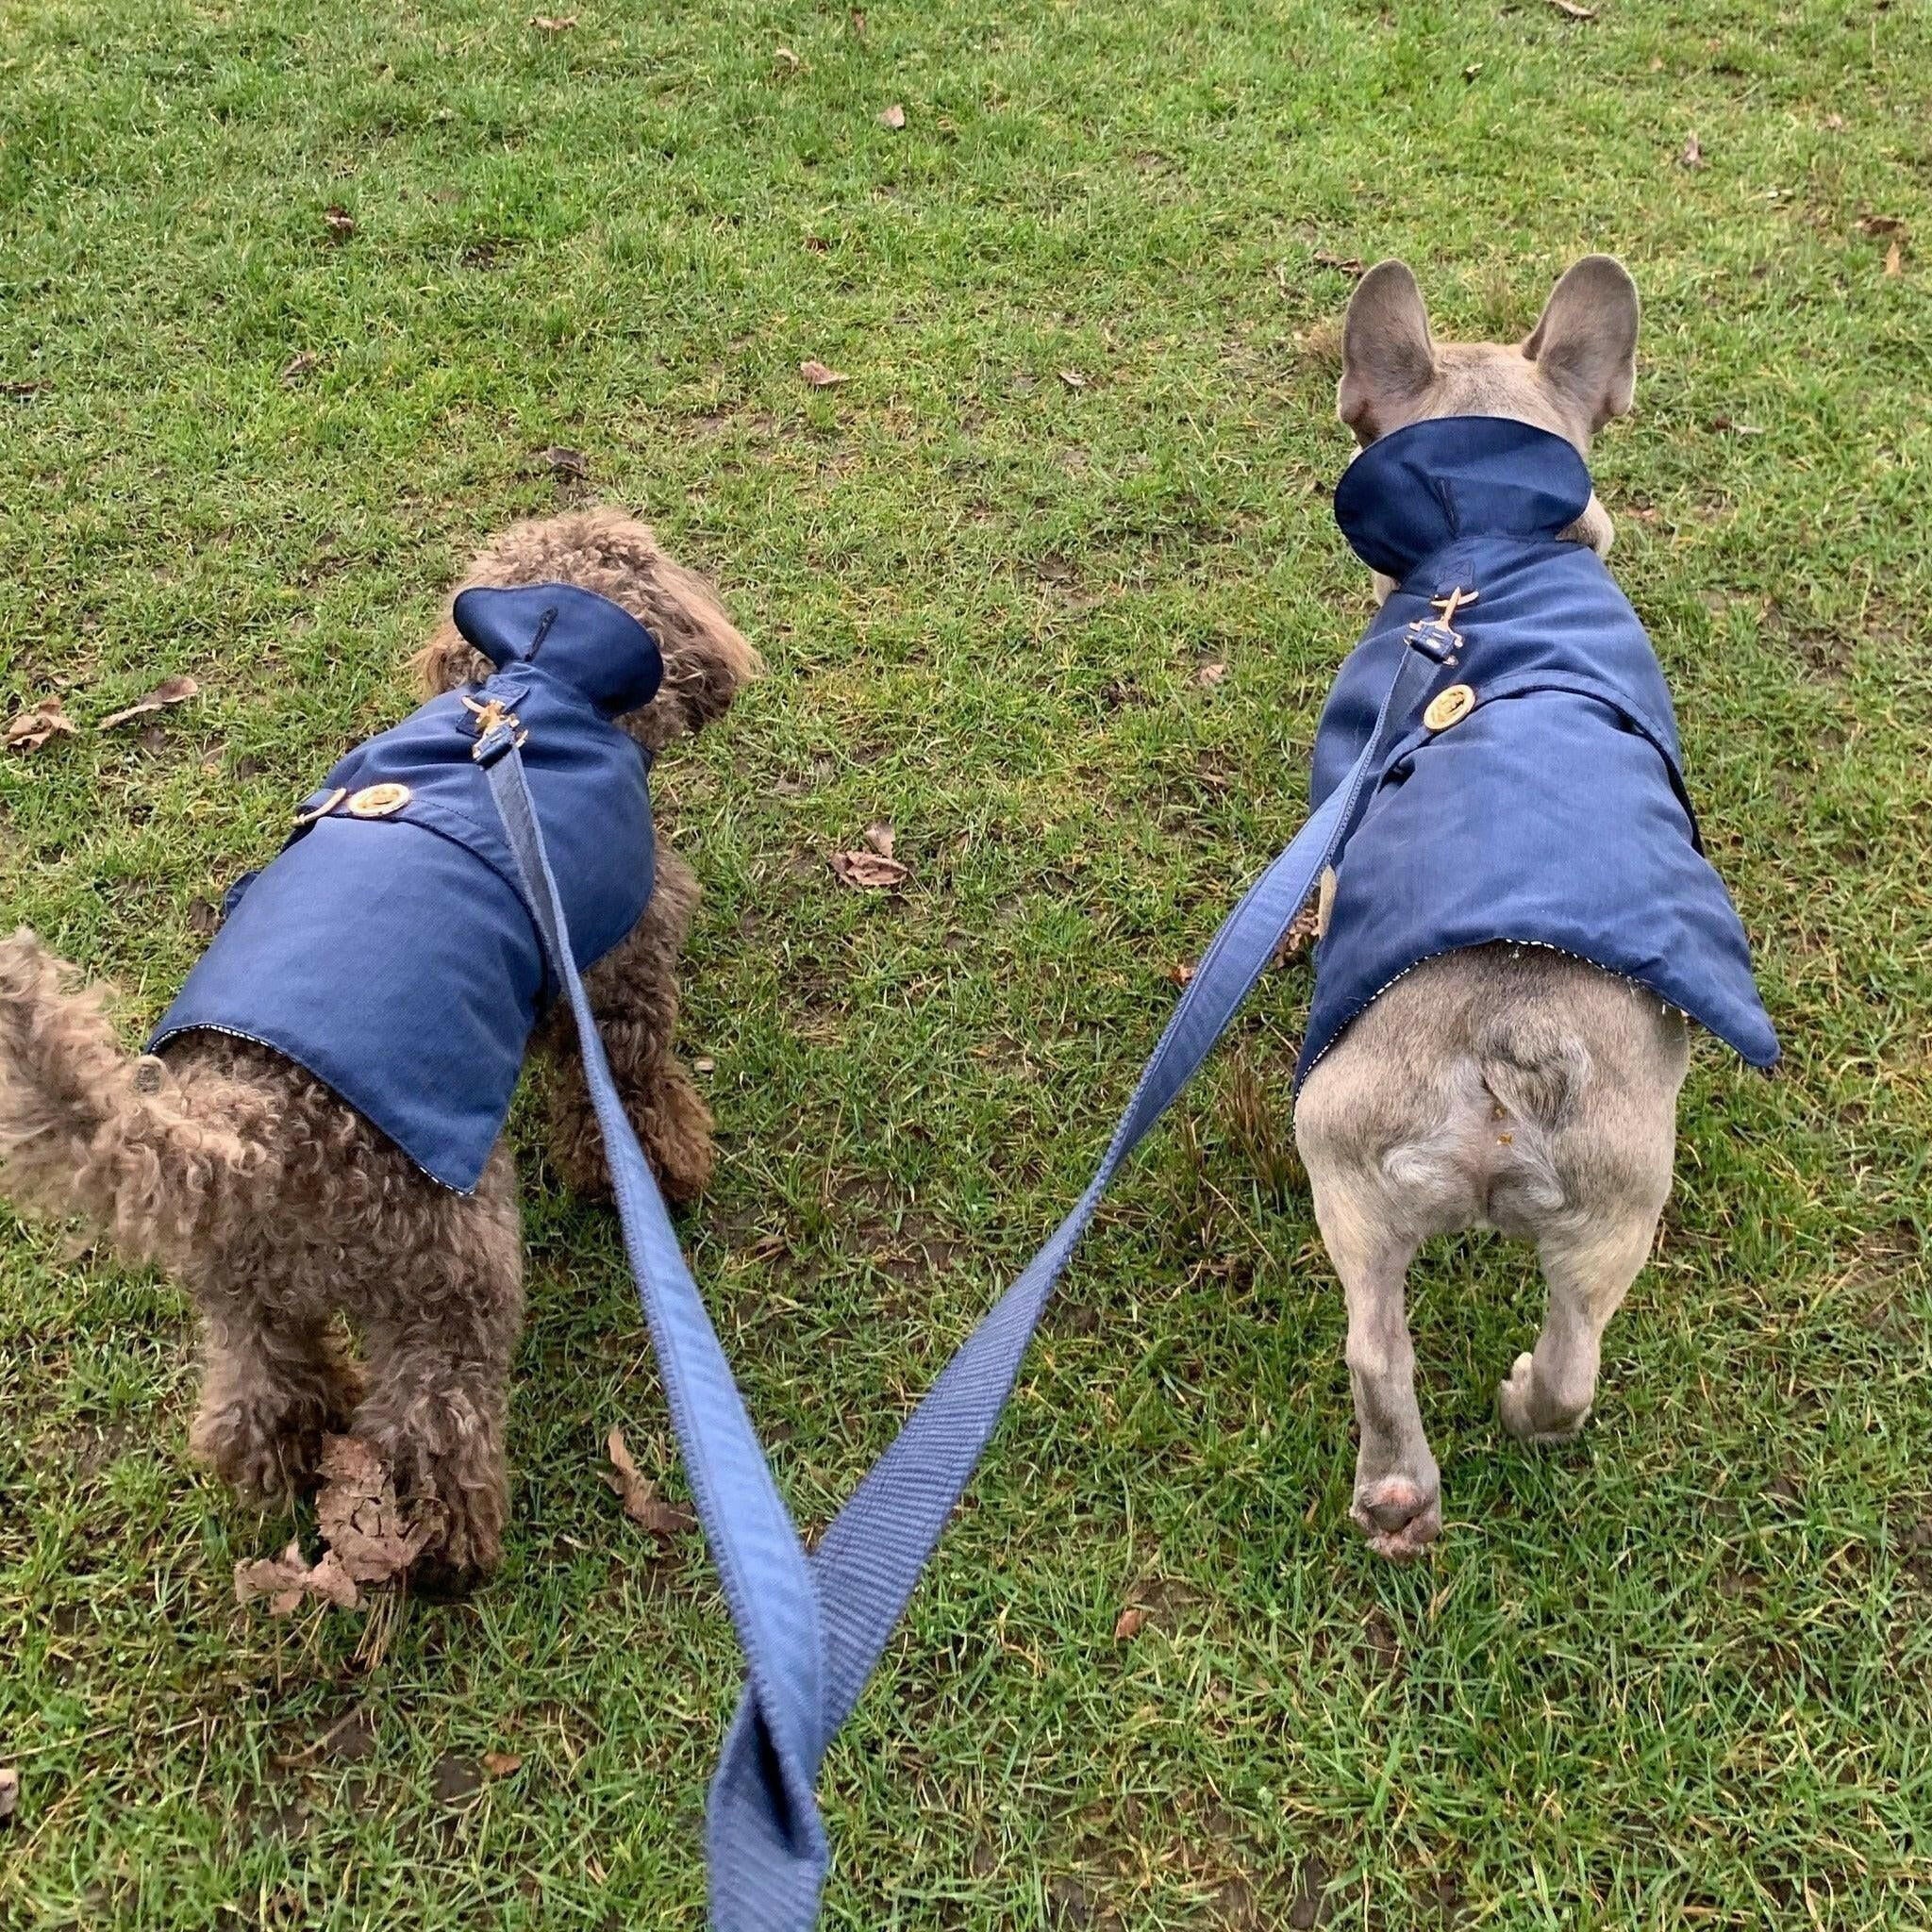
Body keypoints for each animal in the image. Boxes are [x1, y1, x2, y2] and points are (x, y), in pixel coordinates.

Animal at [0, 506, 757, 1576]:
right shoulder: (616, 952)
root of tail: (250, 1134)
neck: (532, 681)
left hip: (243, 1291)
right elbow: (629, 1076)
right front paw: (654, 1170)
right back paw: (446, 1549)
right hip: (451, 1265)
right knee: (432, 1420)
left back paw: (291, 1460)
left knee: (256, 1399)